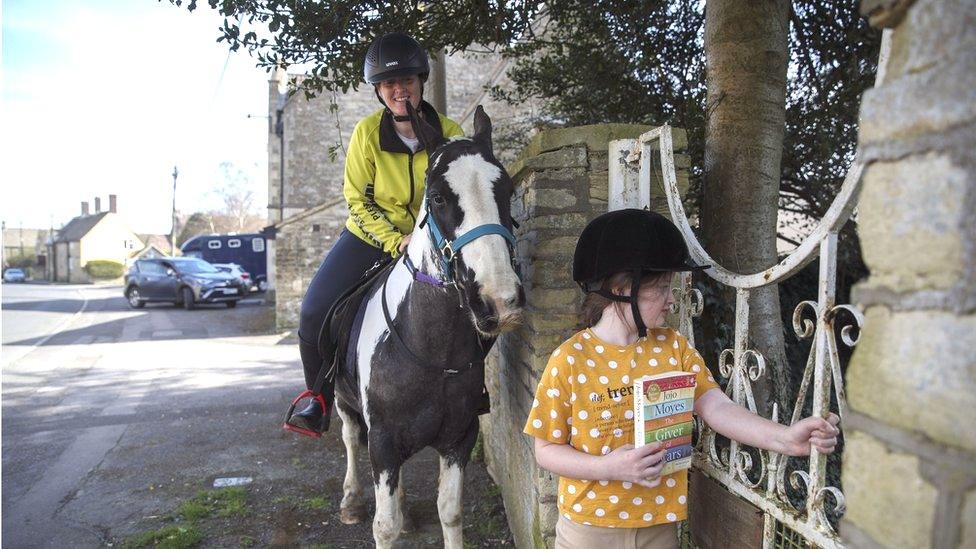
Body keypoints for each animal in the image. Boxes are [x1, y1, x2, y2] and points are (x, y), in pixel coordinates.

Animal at [332, 105, 524, 544]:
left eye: (506, 191)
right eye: (436, 197)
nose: (499, 300)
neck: (432, 351)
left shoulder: (458, 437)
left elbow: (449, 512)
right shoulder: (383, 442)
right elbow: (384, 526)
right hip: (343, 402)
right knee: (350, 437)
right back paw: (350, 500)